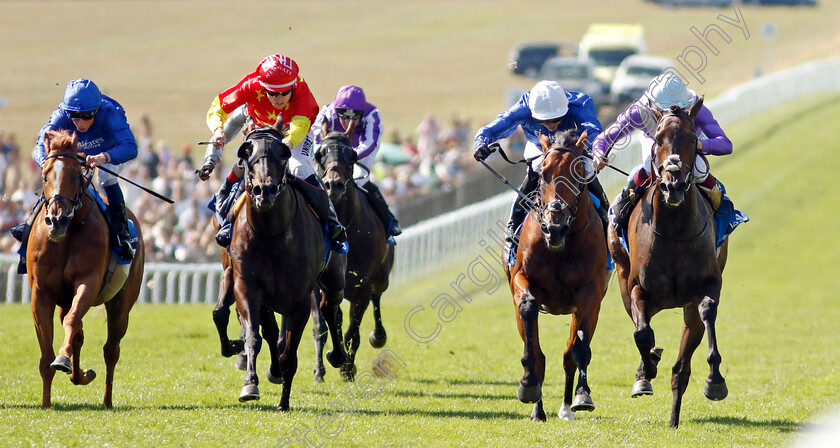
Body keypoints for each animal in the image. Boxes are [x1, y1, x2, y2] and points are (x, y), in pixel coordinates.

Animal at [25, 128, 144, 408]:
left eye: (75, 175)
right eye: (45, 175)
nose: (57, 219)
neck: (67, 235)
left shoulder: (88, 282)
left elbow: (72, 324)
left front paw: (63, 360)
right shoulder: (42, 293)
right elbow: (47, 353)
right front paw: (46, 403)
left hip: (121, 303)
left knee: (111, 349)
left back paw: (106, 400)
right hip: (64, 300)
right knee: (77, 333)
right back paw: (80, 375)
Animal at [217, 121, 348, 412]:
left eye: (282, 153)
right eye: (246, 152)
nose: (264, 190)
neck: (272, 233)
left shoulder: (299, 298)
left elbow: (290, 352)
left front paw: (284, 402)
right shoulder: (247, 286)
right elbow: (254, 335)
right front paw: (250, 385)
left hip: (334, 278)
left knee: (330, 307)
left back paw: (338, 356)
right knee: (270, 329)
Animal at [312, 132, 398, 382]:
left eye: (351, 156)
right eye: (319, 154)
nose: (333, 185)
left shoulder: (362, 285)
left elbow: (353, 331)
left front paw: (347, 368)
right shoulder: (320, 287)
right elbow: (329, 325)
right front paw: (331, 363)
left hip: (381, 278)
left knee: (377, 298)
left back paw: (377, 336)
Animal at [502, 129, 608, 420]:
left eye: (579, 172)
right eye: (544, 173)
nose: (554, 228)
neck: (561, 246)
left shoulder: (590, 294)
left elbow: (578, 349)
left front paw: (582, 396)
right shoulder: (520, 280)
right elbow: (529, 313)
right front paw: (527, 385)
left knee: (570, 354)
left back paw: (567, 407)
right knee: (538, 350)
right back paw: (537, 408)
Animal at [612, 97, 728, 428]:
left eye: (691, 139)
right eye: (658, 139)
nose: (672, 186)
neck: (675, 228)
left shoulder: (710, 282)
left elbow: (707, 310)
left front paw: (715, 380)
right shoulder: (638, 288)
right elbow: (641, 332)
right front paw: (647, 369)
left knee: (681, 369)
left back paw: (675, 416)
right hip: (624, 278)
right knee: (641, 326)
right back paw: (646, 370)